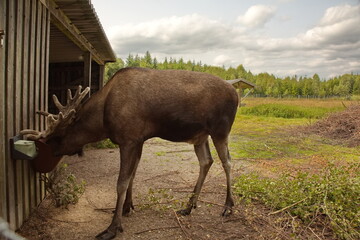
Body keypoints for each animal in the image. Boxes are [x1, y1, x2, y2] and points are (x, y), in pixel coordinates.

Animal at [21, 66, 239, 239]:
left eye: (55, 137)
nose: (46, 155)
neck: (102, 121)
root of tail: (236, 94)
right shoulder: (138, 140)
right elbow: (132, 175)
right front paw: (127, 207)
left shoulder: (128, 139)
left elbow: (121, 182)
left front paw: (113, 227)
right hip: (200, 136)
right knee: (206, 161)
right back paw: (188, 206)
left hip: (220, 129)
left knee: (227, 161)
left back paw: (228, 206)